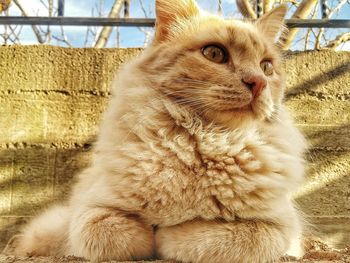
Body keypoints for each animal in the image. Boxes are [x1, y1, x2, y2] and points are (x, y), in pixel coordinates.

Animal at [6, 0, 306, 263]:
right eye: (214, 53)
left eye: (266, 67)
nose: (258, 83)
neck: (209, 141)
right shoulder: (92, 213)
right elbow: (118, 235)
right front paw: (155, 234)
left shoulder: (280, 229)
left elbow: (216, 239)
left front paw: (171, 234)